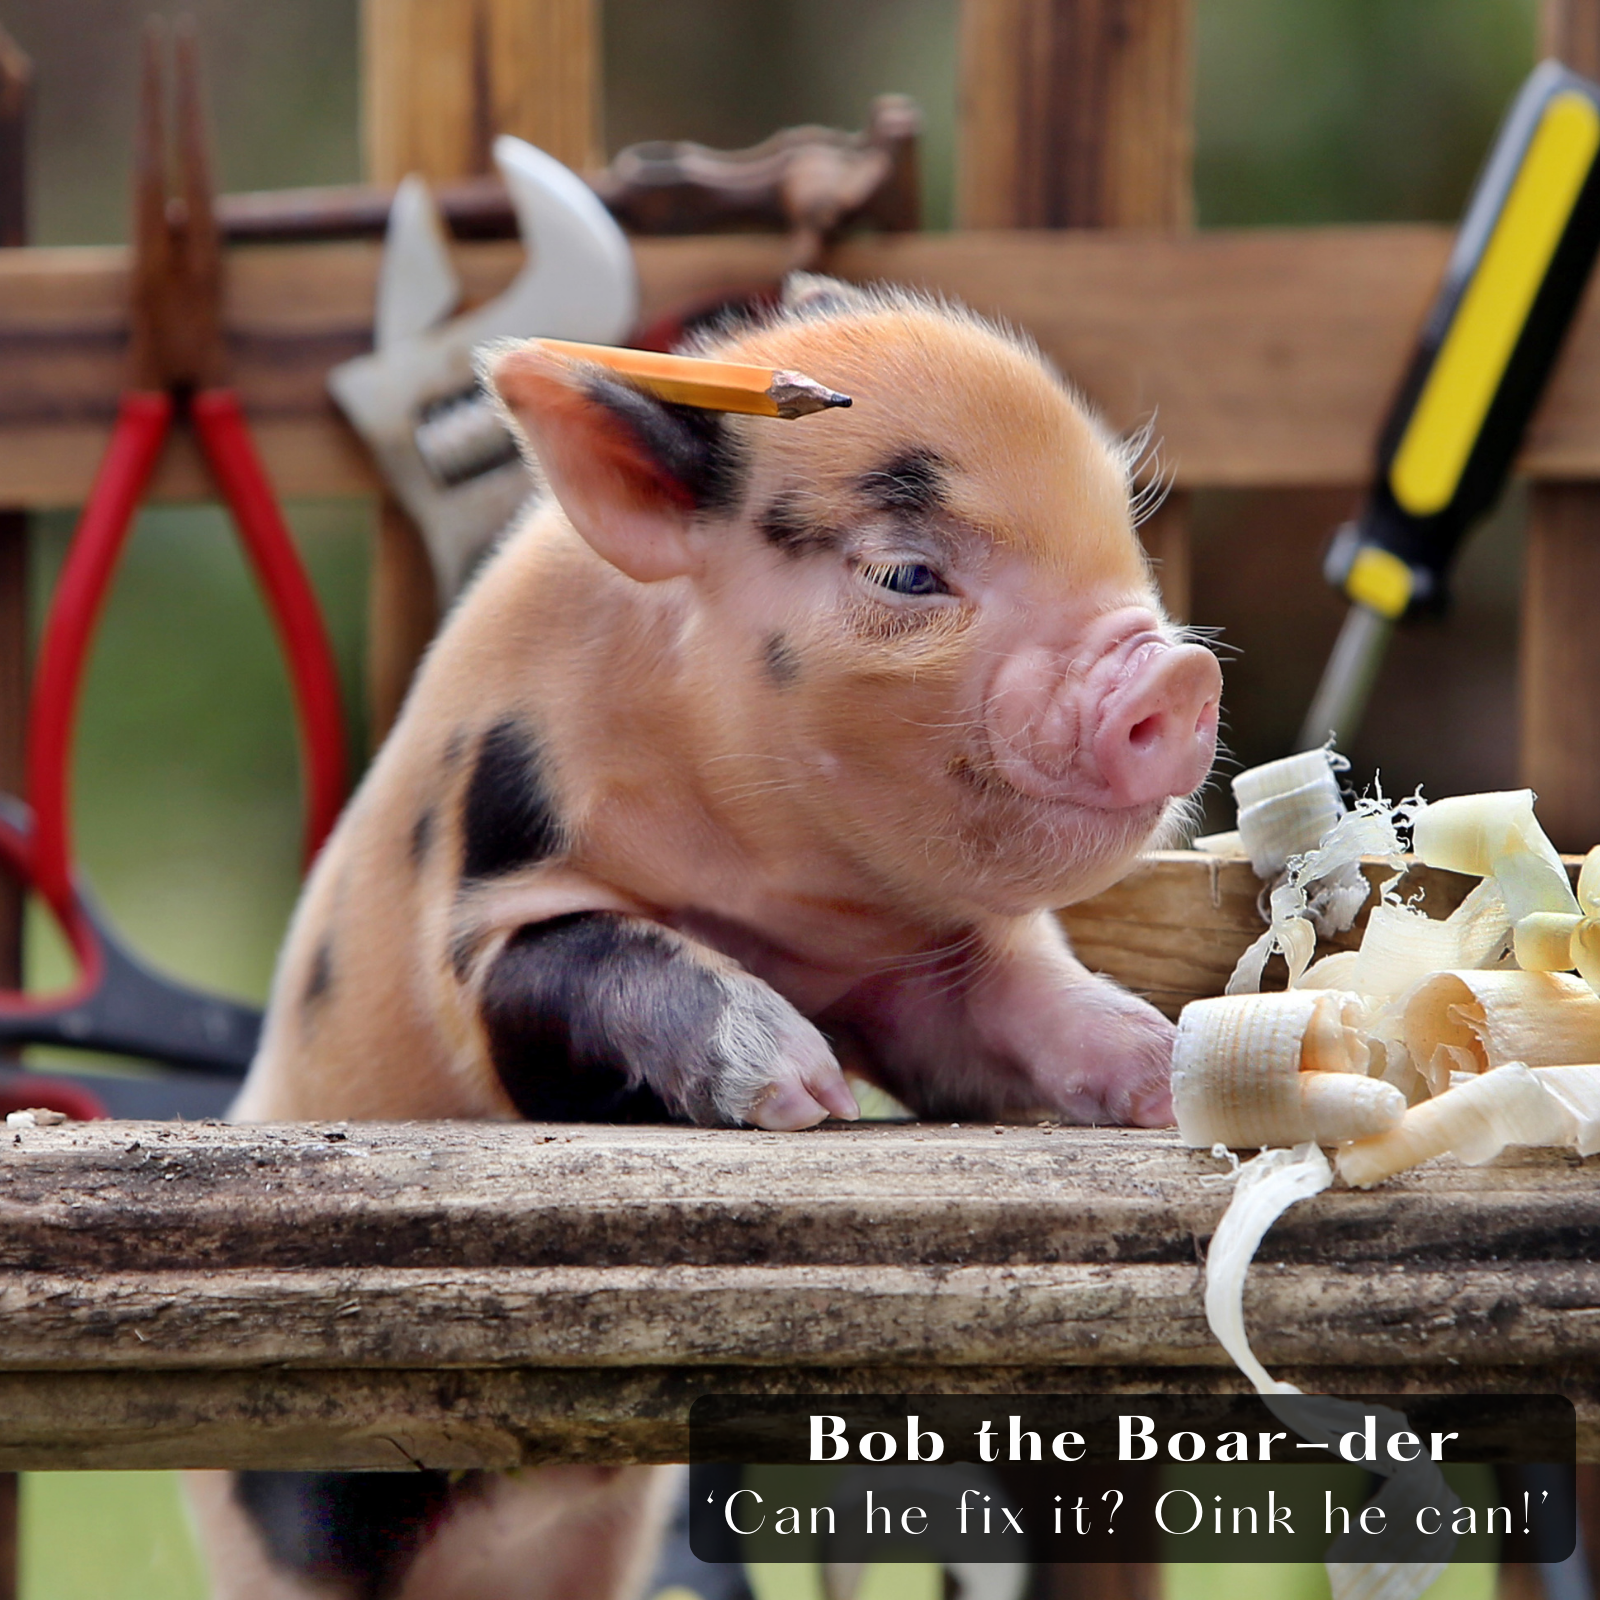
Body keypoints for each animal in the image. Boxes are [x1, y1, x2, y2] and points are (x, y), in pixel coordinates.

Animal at [192, 276, 1220, 1600]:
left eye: (1122, 524)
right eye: (906, 576)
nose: (1176, 676)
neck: (776, 900)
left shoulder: (915, 970)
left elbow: (1015, 1007)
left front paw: (1166, 1065)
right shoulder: (480, 920)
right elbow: (598, 957)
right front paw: (800, 1091)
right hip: (294, 1512)